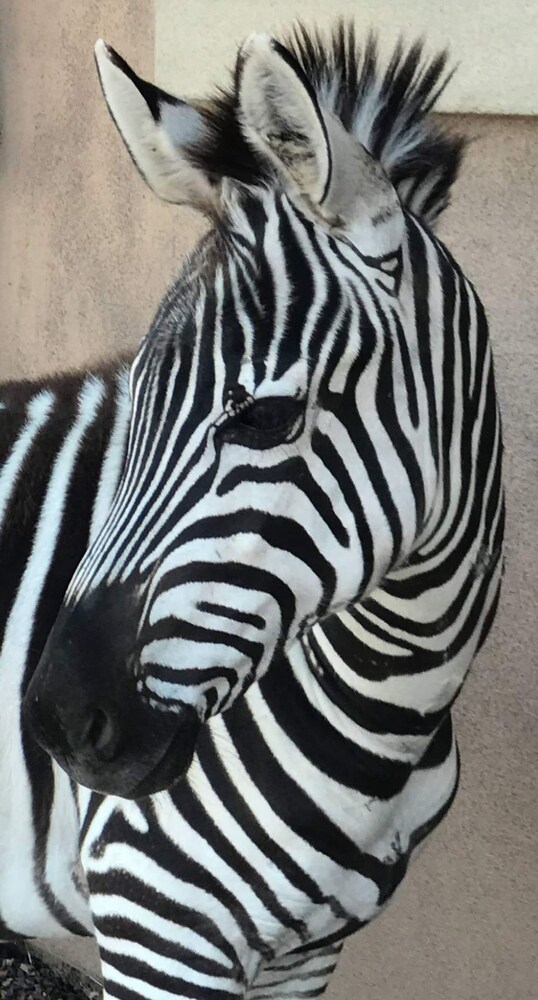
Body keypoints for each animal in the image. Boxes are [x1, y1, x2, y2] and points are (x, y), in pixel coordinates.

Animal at [1, 22, 503, 1000]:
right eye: (136, 400)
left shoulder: (307, 954)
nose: (55, 724)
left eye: (264, 418)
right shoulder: (158, 926)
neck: (392, 714)